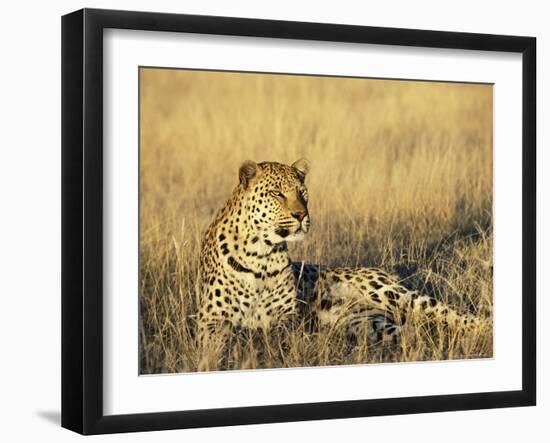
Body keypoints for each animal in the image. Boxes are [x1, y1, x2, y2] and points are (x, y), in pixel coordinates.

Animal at [197, 158, 488, 370]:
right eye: (277, 194)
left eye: (302, 193)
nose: (301, 215)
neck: (262, 254)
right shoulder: (211, 319)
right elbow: (221, 341)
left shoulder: (287, 318)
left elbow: (273, 335)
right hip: (366, 323)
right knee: (414, 331)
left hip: (394, 295)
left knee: (448, 312)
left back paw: (484, 327)